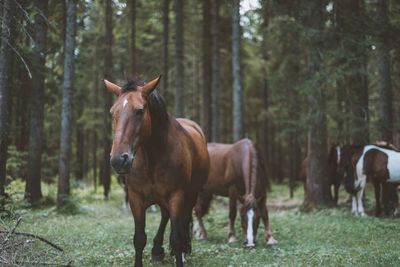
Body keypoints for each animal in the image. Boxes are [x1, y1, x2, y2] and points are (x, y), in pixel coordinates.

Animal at [103, 76, 209, 267]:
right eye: (112, 112)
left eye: (139, 111)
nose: (118, 160)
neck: (152, 158)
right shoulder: (135, 198)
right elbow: (139, 239)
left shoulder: (177, 196)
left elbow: (176, 237)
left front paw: (179, 253)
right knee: (165, 216)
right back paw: (158, 249)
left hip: (191, 194)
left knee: (182, 222)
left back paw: (181, 250)